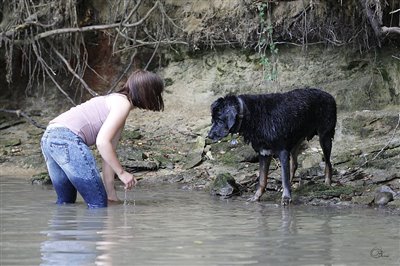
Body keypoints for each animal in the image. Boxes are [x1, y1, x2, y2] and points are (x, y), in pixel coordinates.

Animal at [208, 87, 336, 204]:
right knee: (294, 164)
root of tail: (329, 95)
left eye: (219, 120)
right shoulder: (264, 152)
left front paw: (286, 197)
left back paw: (327, 183)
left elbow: (283, 177)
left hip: (325, 137)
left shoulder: (282, 151)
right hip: (296, 140)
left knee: (328, 163)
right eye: (212, 120)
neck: (249, 114)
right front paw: (256, 196)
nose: (209, 136)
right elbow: (262, 180)